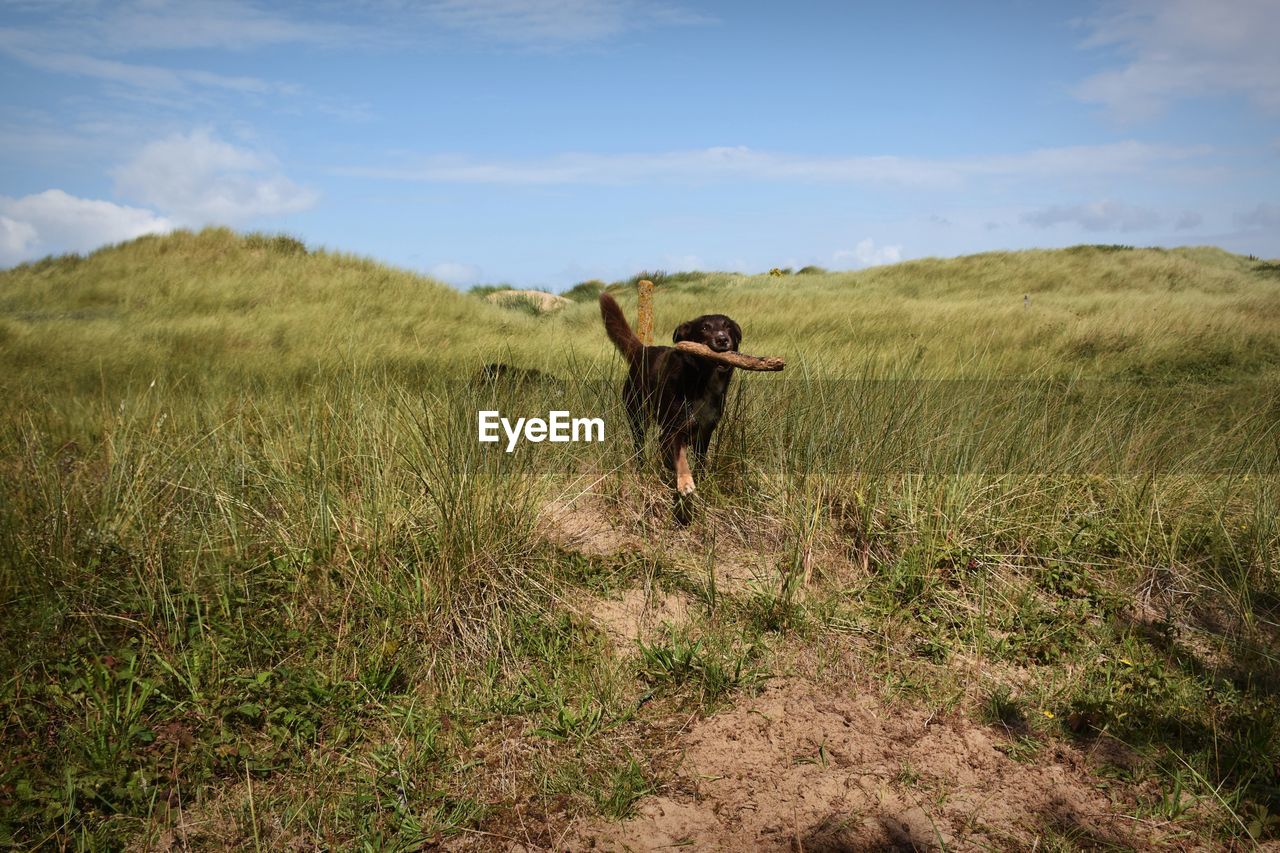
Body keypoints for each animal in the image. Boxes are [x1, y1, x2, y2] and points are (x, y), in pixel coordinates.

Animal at [601, 292, 747, 494]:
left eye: (728, 327)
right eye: (704, 328)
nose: (722, 339)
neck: (700, 379)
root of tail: (642, 350)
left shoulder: (704, 432)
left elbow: (700, 462)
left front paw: (700, 480)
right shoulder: (673, 430)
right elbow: (680, 458)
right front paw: (685, 483)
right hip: (638, 416)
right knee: (639, 448)